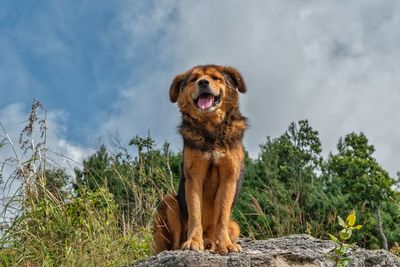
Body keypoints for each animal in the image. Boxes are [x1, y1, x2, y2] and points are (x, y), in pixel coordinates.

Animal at [152, 64, 247, 255]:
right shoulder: (194, 177)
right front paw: (194, 242)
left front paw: (225, 245)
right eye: (194, 79)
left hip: (235, 225)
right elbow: (195, 213)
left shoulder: (228, 179)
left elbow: (222, 216)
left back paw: (212, 244)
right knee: (174, 242)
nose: (203, 83)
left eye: (216, 77)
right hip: (169, 202)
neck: (211, 129)